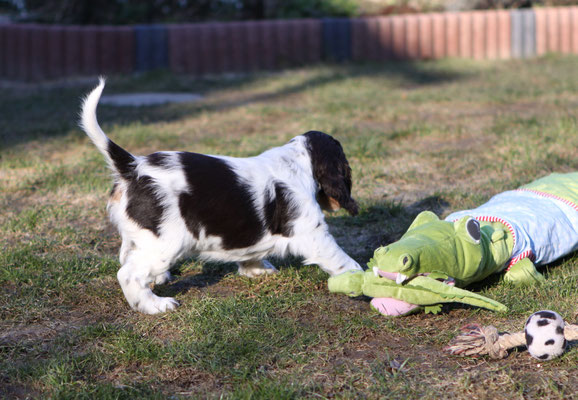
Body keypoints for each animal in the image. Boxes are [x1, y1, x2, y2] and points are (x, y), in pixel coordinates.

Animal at [81, 79, 360, 314]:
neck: (297, 160)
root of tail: (133, 166)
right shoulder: (313, 233)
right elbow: (341, 259)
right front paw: (358, 277)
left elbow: (251, 252)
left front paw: (257, 269)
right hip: (166, 243)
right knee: (128, 274)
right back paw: (156, 305)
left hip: (141, 237)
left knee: (129, 258)